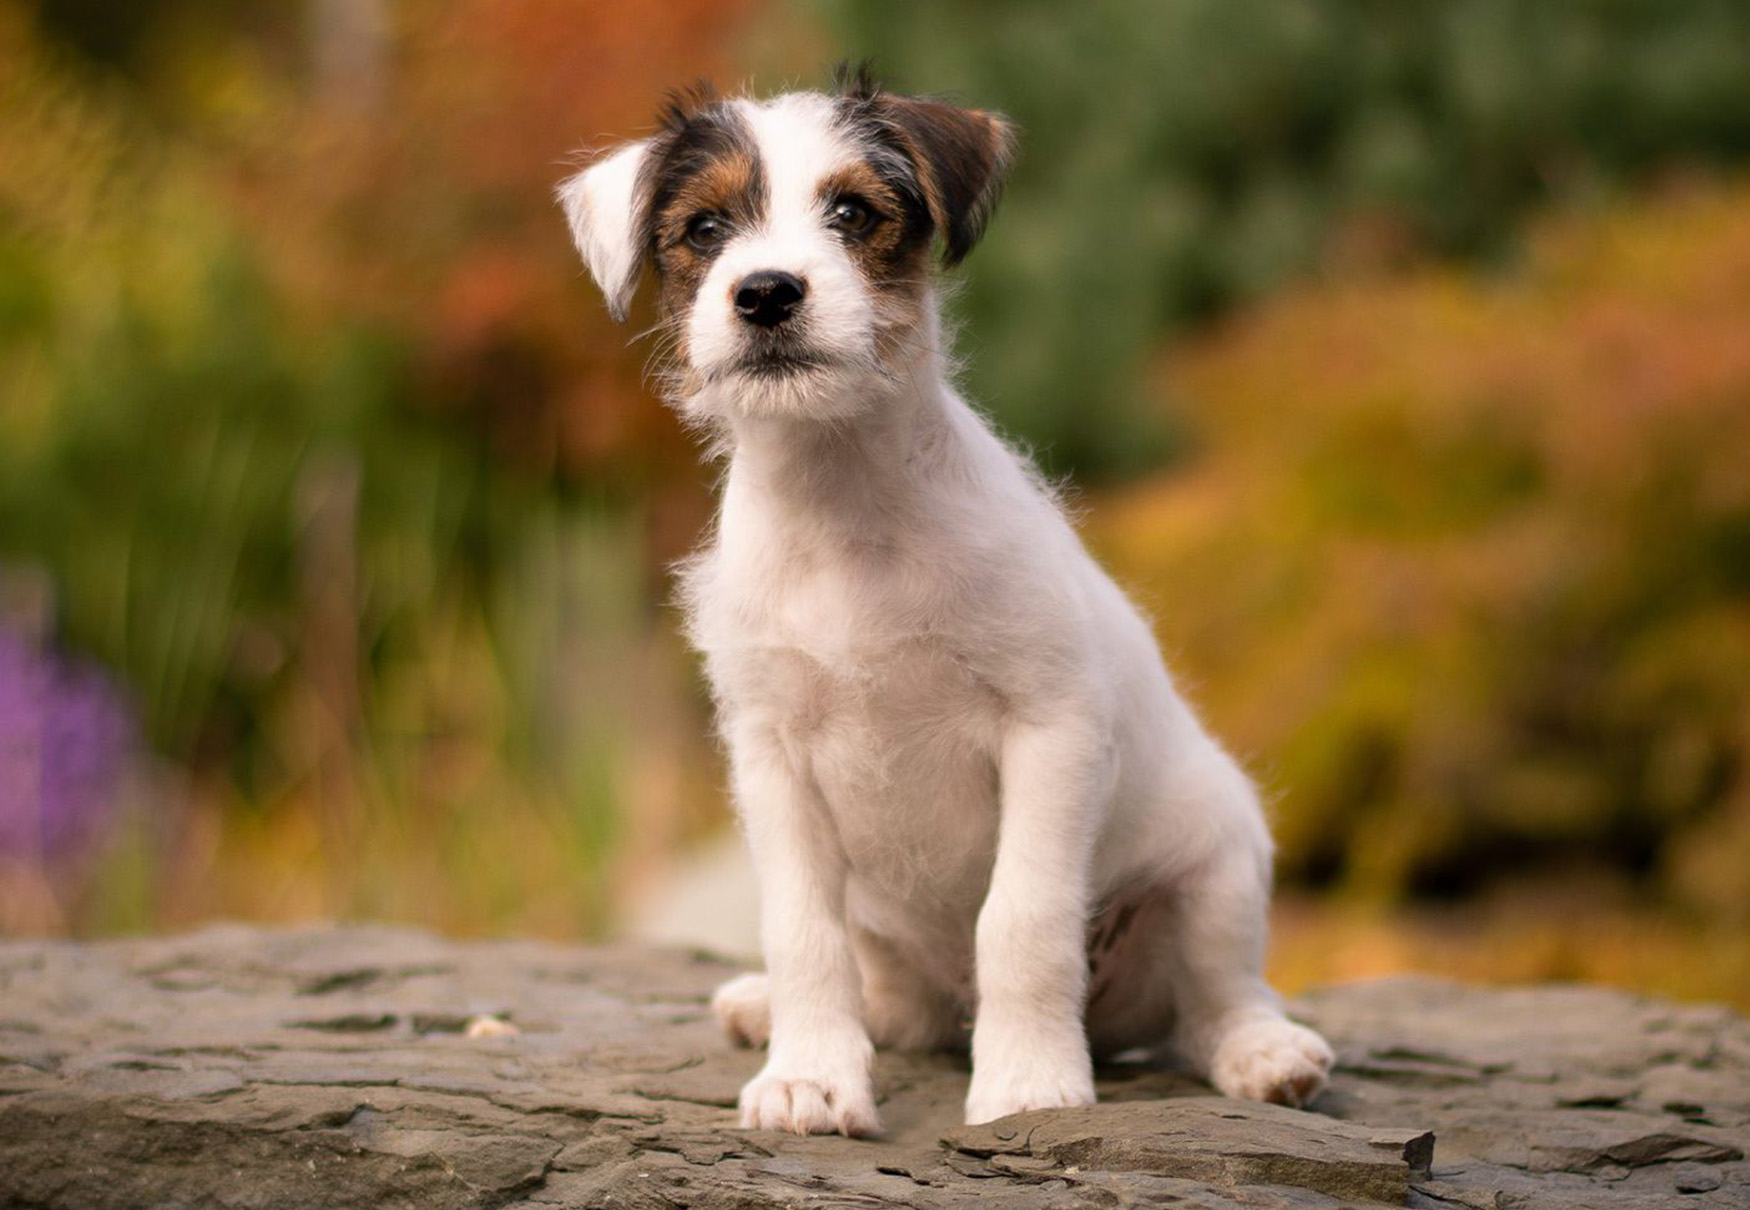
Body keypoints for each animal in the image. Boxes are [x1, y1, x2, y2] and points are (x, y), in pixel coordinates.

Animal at [556, 70, 1323, 1141]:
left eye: (851, 212)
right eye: (705, 227)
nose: (766, 292)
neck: (846, 509)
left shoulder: (1051, 729)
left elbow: (1022, 920)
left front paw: (1029, 1081)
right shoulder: (771, 759)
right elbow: (802, 931)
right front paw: (810, 1076)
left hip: (1219, 858)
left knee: (1214, 1000)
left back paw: (1266, 1053)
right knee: (895, 999)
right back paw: (772, 1010)